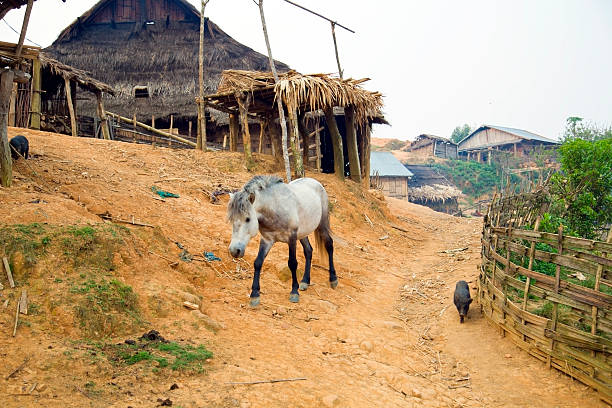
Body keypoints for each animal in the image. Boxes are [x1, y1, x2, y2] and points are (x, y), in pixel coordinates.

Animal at [227, 175, 338, 306]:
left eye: (248, 219)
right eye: (231, 219)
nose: (234, 250)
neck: (275, 208)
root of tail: (315, 182)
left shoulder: (292, 238)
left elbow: (292, 263)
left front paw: (294, 292)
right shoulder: (267, 240)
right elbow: (258, 262)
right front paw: (254, 295)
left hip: (322, 225)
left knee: (329, 245)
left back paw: (333, 279)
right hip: (303, 233)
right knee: (308, 251)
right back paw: (305, 281)